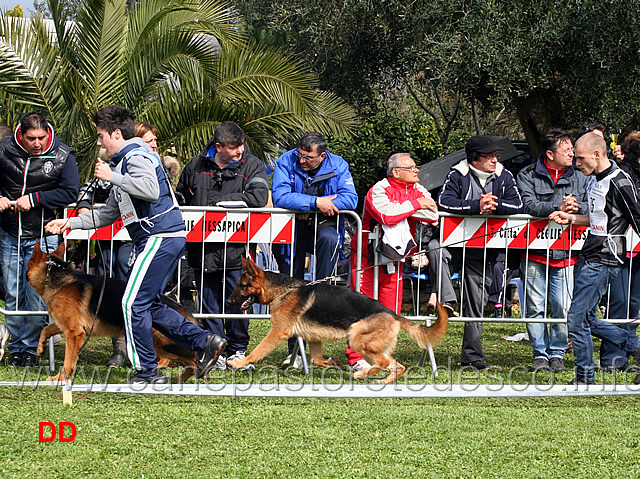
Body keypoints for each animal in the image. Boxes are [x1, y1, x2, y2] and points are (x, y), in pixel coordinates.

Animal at [27, 244, 198, 382]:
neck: (54, 276)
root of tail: (182, 308)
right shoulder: (69, 326)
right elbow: (46, 329)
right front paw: (40, 347)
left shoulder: (74, 333)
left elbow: (68, 361)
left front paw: (59, 378)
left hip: (163, 345)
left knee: (190, 361)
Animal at [228, 256, 452, 384]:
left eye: (241, 286)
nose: (229, 301)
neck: (283, 290)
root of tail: (392, 314)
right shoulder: (314, 338)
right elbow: (316, 360)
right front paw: (332, 363)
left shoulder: (277, 332)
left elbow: (258, 351)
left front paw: (240, 363)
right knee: (397, 365)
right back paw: (382, 381)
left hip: (357, 339)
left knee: (383, 362)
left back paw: (362, 375)